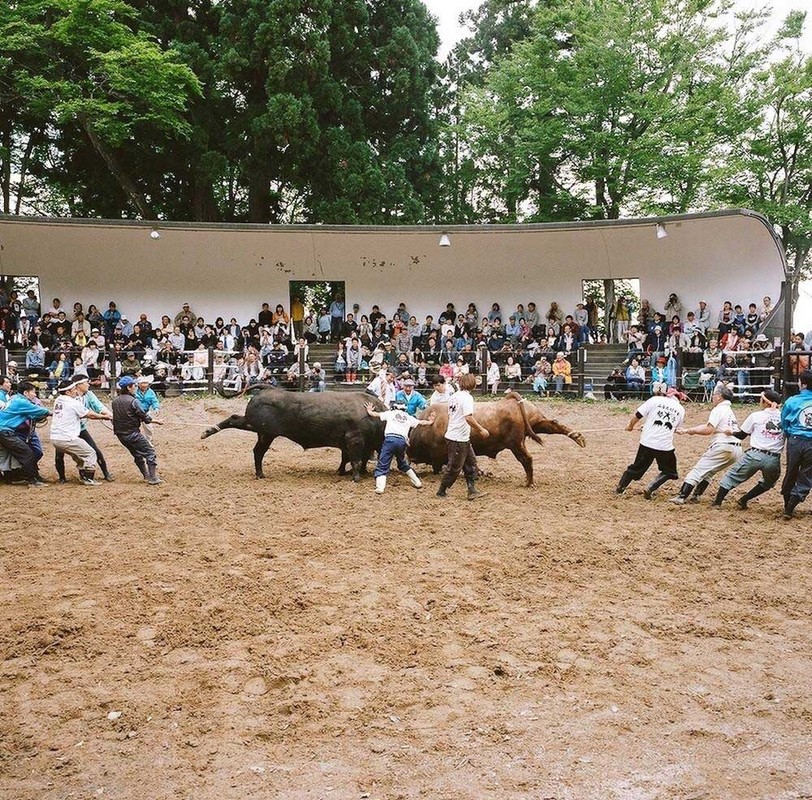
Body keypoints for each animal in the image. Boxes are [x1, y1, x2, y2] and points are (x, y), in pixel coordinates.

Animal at [199, 388, 384, 482]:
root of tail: (268, 389)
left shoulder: (347, 443)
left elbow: (347, 458)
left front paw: (344, 472)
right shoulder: (354, 440)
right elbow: (355, 459)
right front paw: (356, 476)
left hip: (264, 433)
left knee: (256, 450)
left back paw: (260, 474)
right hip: (258, 427)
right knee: (236, 422)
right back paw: (207, 432)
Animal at [412, 390, 584, 488]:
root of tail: (510, 400)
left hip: (516, 444)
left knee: (527, 459)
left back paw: (529, 483)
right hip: (535, 423)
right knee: (552, 424)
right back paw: (578, 437)